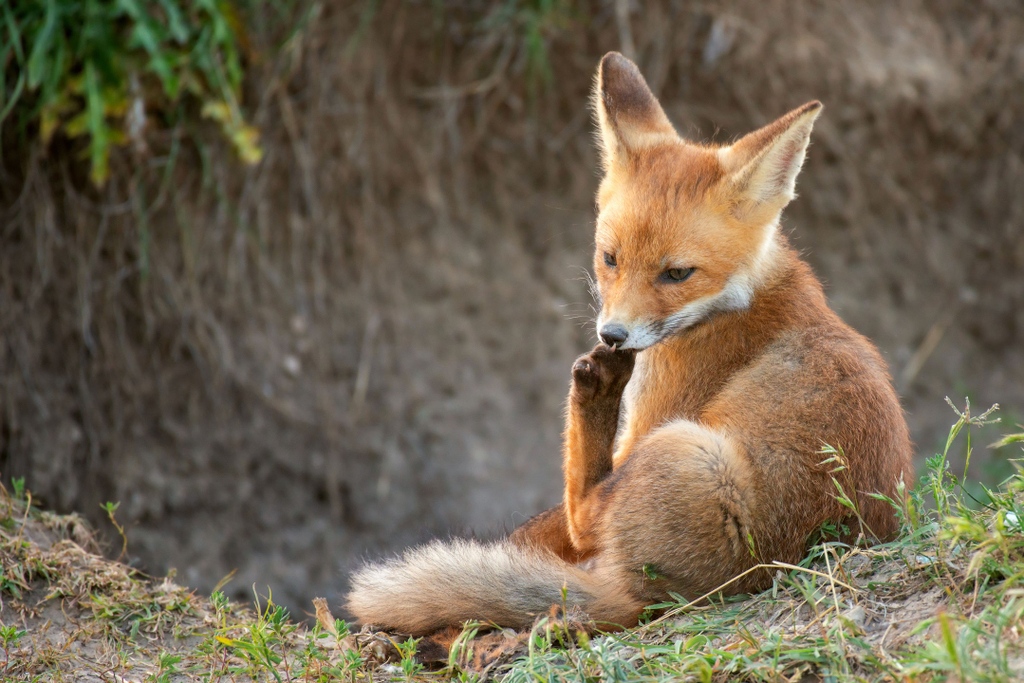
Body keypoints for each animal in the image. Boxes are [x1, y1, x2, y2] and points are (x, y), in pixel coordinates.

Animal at [346, 52, 914, 635]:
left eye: (678, 273)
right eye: (610, 258)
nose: (612, 336)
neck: (740, 299)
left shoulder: (651, 418)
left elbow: (566, 521)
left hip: (684, 452)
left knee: (585, 517)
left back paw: (594, 392)